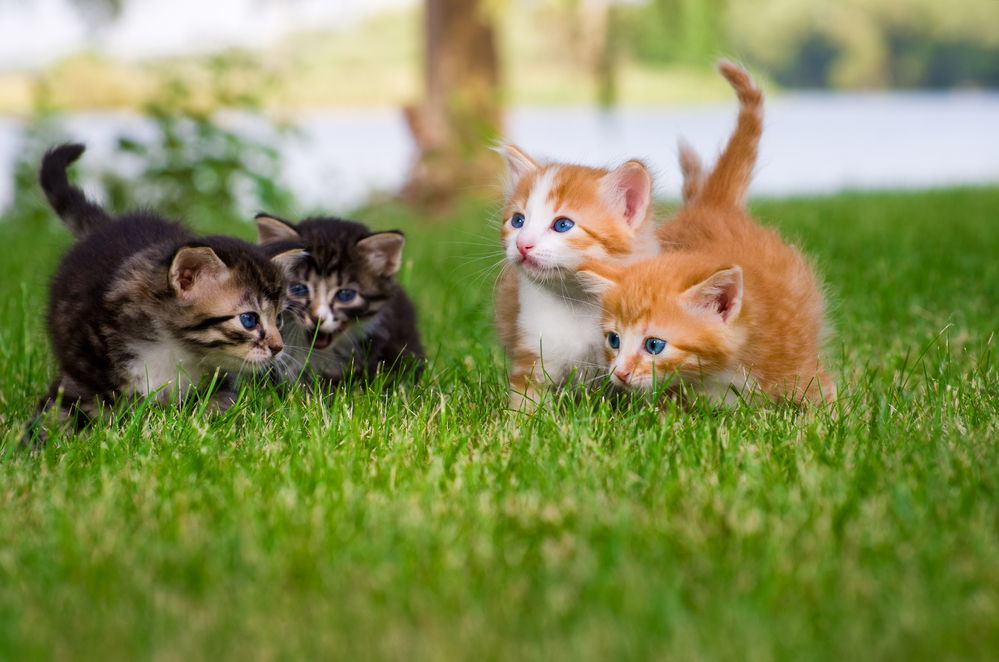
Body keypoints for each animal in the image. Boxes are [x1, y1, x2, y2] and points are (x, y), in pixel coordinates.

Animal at [31, 145, 304, 446]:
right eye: (249, 320)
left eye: (278, 320)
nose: (278, 348)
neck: (172, 349)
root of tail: (109, 226)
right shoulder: (82, 373)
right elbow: (54, 417)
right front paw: (32, 448)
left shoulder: (217, 384)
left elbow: (220, 413)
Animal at [494, 145, 664, 410]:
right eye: (518, 221)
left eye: (563, 225)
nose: (522, 244)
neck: (577, 302)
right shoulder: (532, 348)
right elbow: (525, 397)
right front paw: (520, 419)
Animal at [580, 62, 836, 408]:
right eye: (614, 339)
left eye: (654, 345)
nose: (619, 373)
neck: (719, 374)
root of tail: (713, 204)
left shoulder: (801, 368)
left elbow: (825, 402)